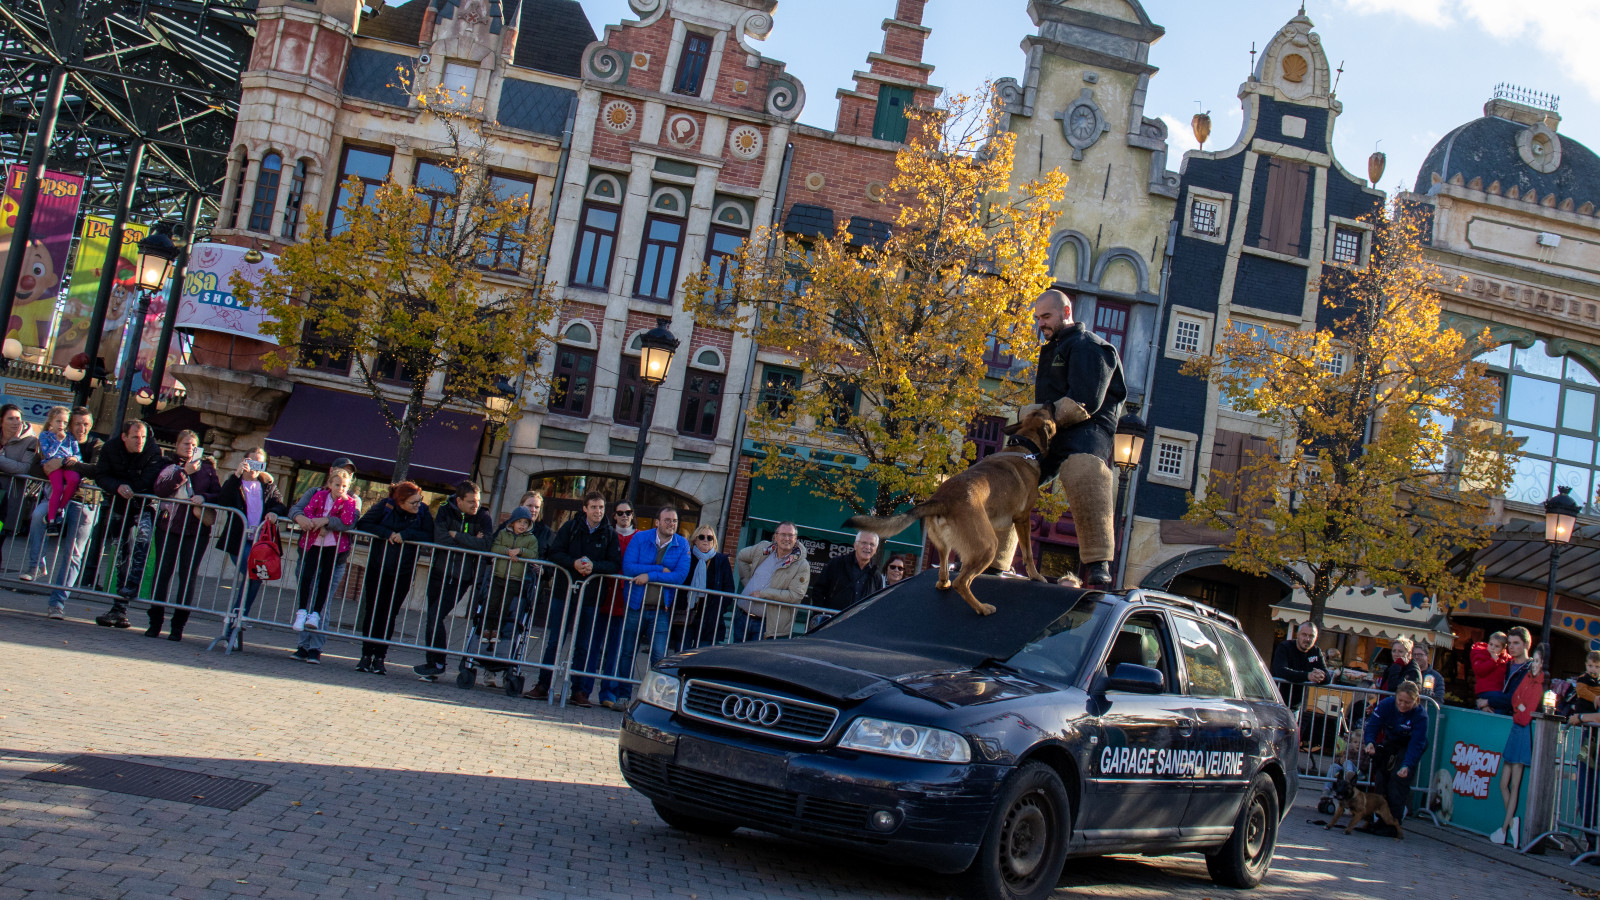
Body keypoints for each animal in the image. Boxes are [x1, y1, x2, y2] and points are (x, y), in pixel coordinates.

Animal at [851, 403, 1062, 611]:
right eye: (1048, 413)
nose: (1050, 403)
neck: (1024, 446)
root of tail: (942, 500)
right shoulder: (1023, 518)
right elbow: (1028, 553)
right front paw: (1036, 576)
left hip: (944, 544)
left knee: (944, 573)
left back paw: (946, 584)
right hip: (987, 546)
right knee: (962, 582)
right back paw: (982, 608)